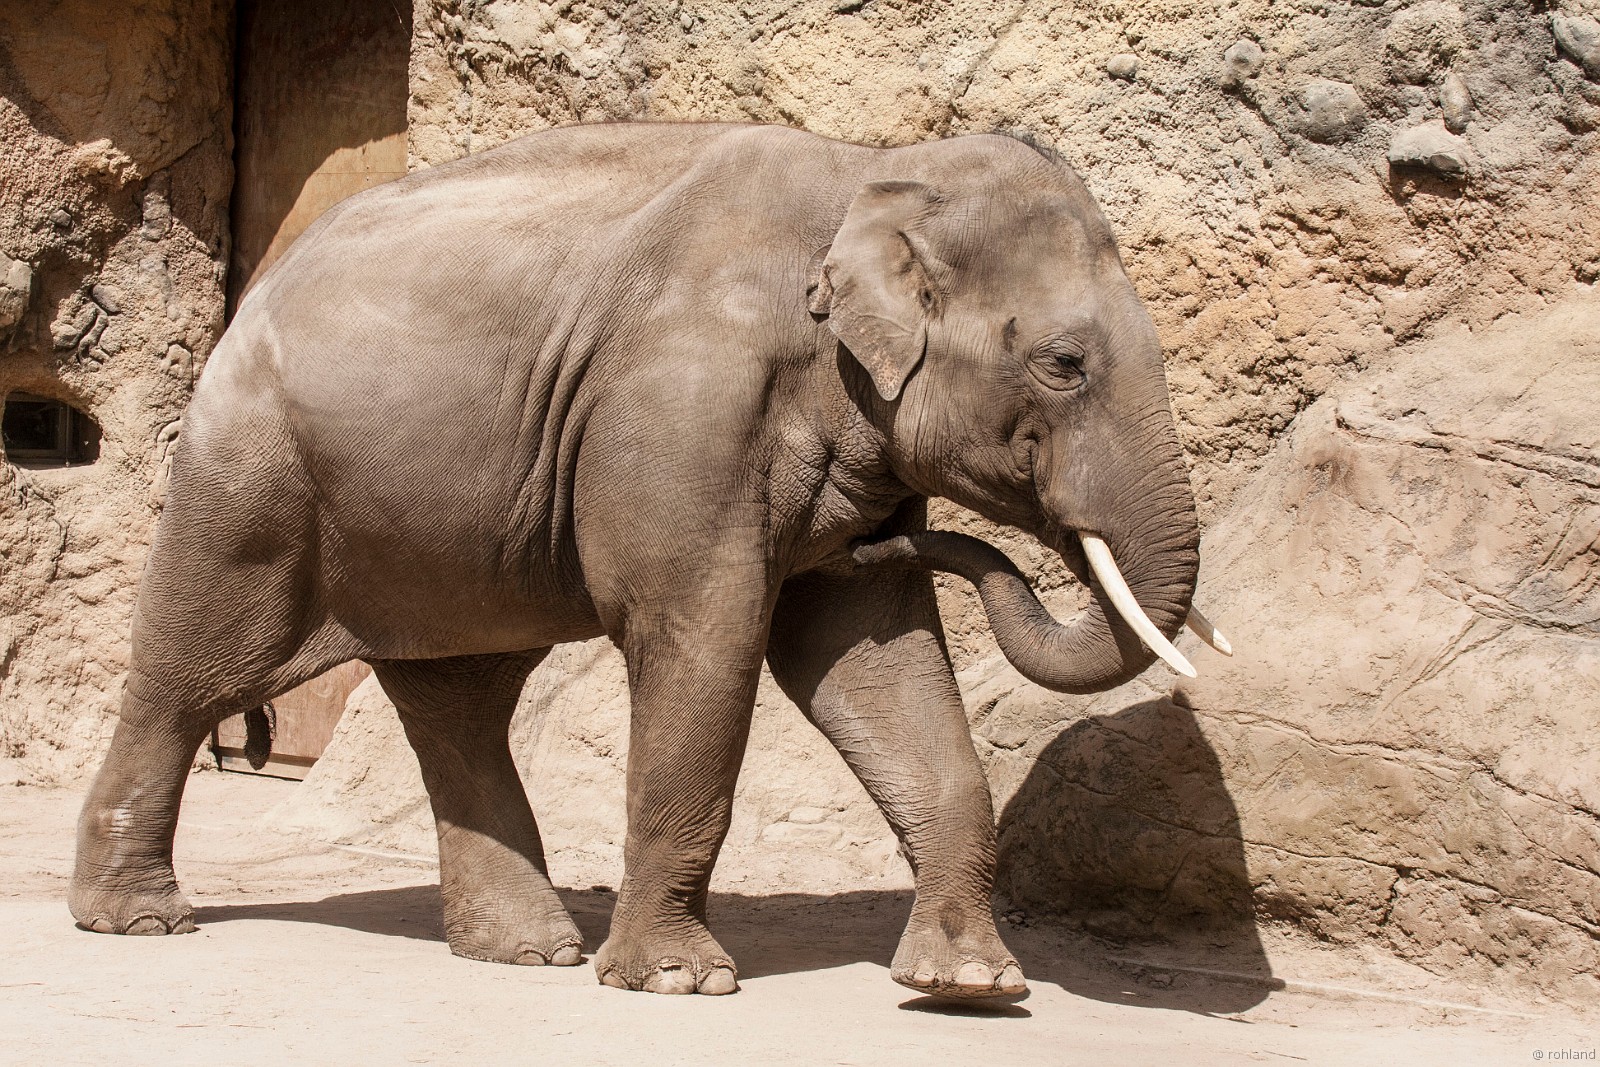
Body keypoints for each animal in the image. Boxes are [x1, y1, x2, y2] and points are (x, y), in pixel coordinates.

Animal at [69, 122, 1229, 1002]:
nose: (894, 534)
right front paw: (678, 980)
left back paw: (527, 950)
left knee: (461, 697)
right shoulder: (683, 405)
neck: (871, 170)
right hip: (252, 475)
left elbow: (870, 659)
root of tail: (257, 286)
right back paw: (138, 920)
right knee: (192, 671)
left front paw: (969, 986)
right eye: (1065, 364)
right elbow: (705, 636)